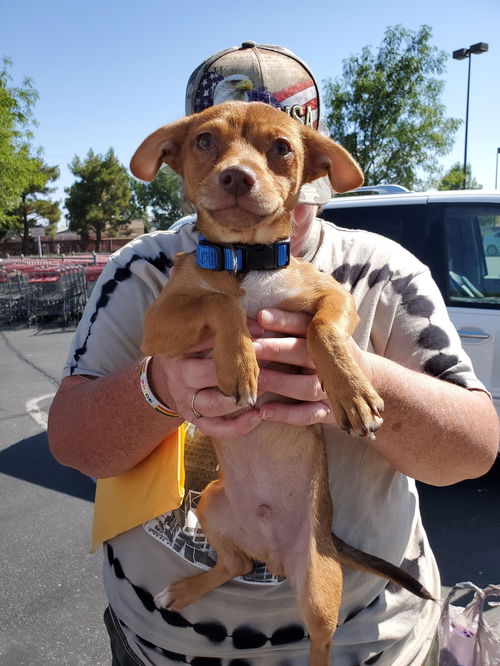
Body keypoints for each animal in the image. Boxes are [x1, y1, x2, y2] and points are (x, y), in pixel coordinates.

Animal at [131, 101, 432, 660]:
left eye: (282, 148)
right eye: (204, 141)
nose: (236, 176)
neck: (243, 262)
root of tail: (274, 551)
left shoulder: (333, 298)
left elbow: (321, 329)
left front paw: (352, 393)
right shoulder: (158, 323)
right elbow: (217, 301)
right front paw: (240, 361)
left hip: (317, 587)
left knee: (322, 641)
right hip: (213, 503)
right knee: (235, 564)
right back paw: (185, 590)